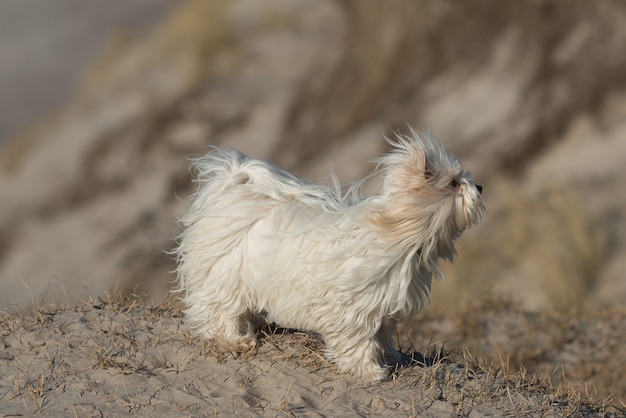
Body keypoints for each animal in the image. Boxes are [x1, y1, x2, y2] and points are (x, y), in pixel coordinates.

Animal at [173, 129, 486, 380]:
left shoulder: (383, 304)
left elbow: (383, 334)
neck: (395, 231)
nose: (480, 186)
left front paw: (390, 356)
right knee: (218, 313)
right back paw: (235, 340)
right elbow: (359, 341)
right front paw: (369, 371)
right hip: (224, 281)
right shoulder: (354, 308)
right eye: (454, 182)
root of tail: (232, 188)